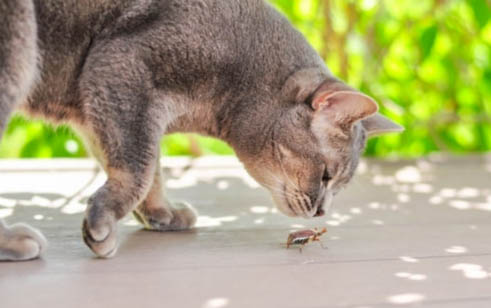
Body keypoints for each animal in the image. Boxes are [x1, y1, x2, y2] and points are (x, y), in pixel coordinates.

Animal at [0, 0, 404, 262]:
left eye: (339, 185)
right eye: (326, 175)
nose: (321, 213)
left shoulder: (106, 107)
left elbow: (150, 169)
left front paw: (161, 213)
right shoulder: (120, 65)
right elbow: (139, 168)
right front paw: (103, 222)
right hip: (18, 50)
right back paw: (13, 241)